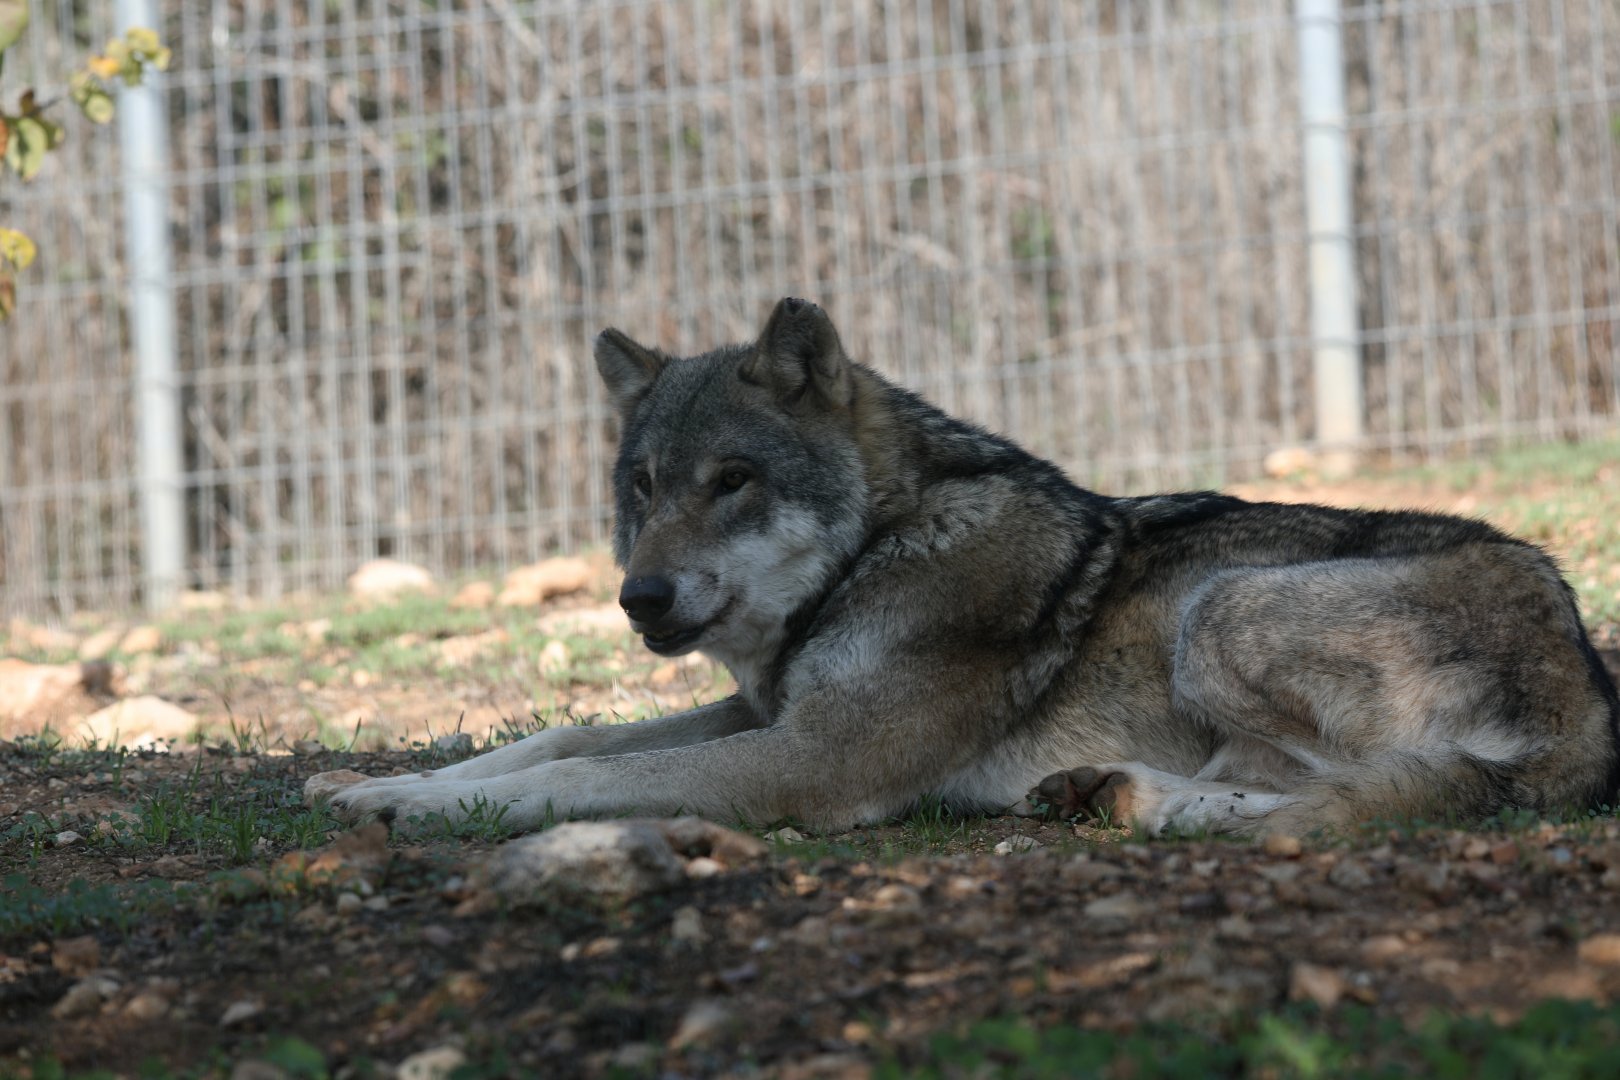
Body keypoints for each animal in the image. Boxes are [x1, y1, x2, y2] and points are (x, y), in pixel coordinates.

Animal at [307, 298, 1620, 838]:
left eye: (731, 481)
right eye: (641, 489)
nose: (641, 598)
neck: (874, 552)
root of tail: (1592, 691)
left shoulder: (811, 758)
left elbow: (580, 782)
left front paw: (410, 806)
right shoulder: (760, 711)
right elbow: (562, 736)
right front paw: (374, 782)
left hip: (1222, 605)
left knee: (1354, 790)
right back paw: (1110, 795)